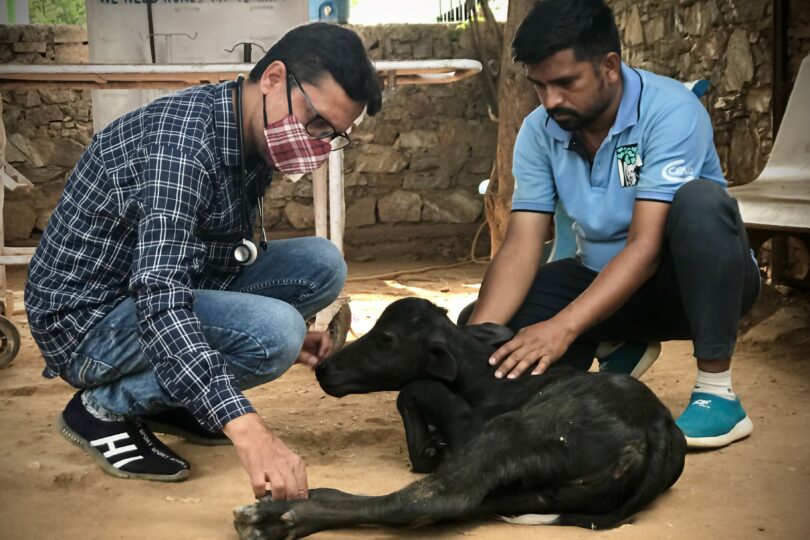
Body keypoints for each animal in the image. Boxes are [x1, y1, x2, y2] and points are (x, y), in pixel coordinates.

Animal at [232, 298, 680, 536]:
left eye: (386, 338)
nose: (324, 369)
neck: (480, 372)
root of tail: (658, 429)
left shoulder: (471, 425)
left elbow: (415, 388)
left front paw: (428, 449)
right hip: (536, 492)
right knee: (447, 506)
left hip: (509, 434)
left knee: (422, 503)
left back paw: (281, 516)